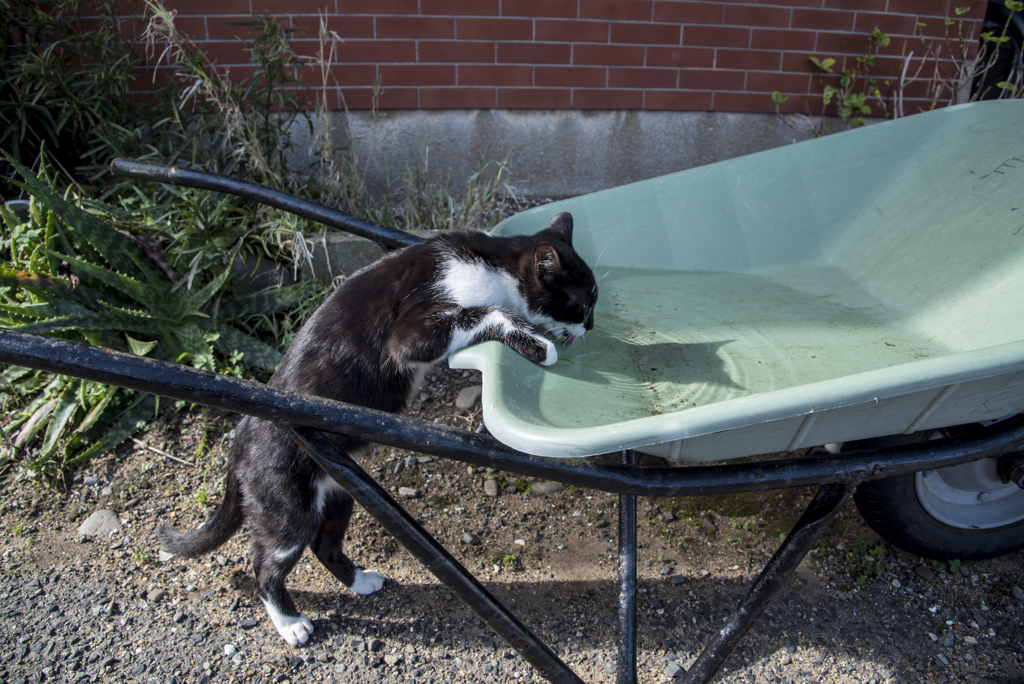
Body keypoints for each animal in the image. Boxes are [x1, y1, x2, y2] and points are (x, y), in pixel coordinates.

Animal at [155, 211, 598, 647]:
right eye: (584, 302)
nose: (592, 326)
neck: (493, 262)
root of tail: (241, 439)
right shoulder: (413, 331)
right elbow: (486, 313)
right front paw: (539, 345)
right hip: (286, 505)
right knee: (266, 566)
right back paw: (290, 623)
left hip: (338, 489)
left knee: (324, 545)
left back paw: (361, 581)